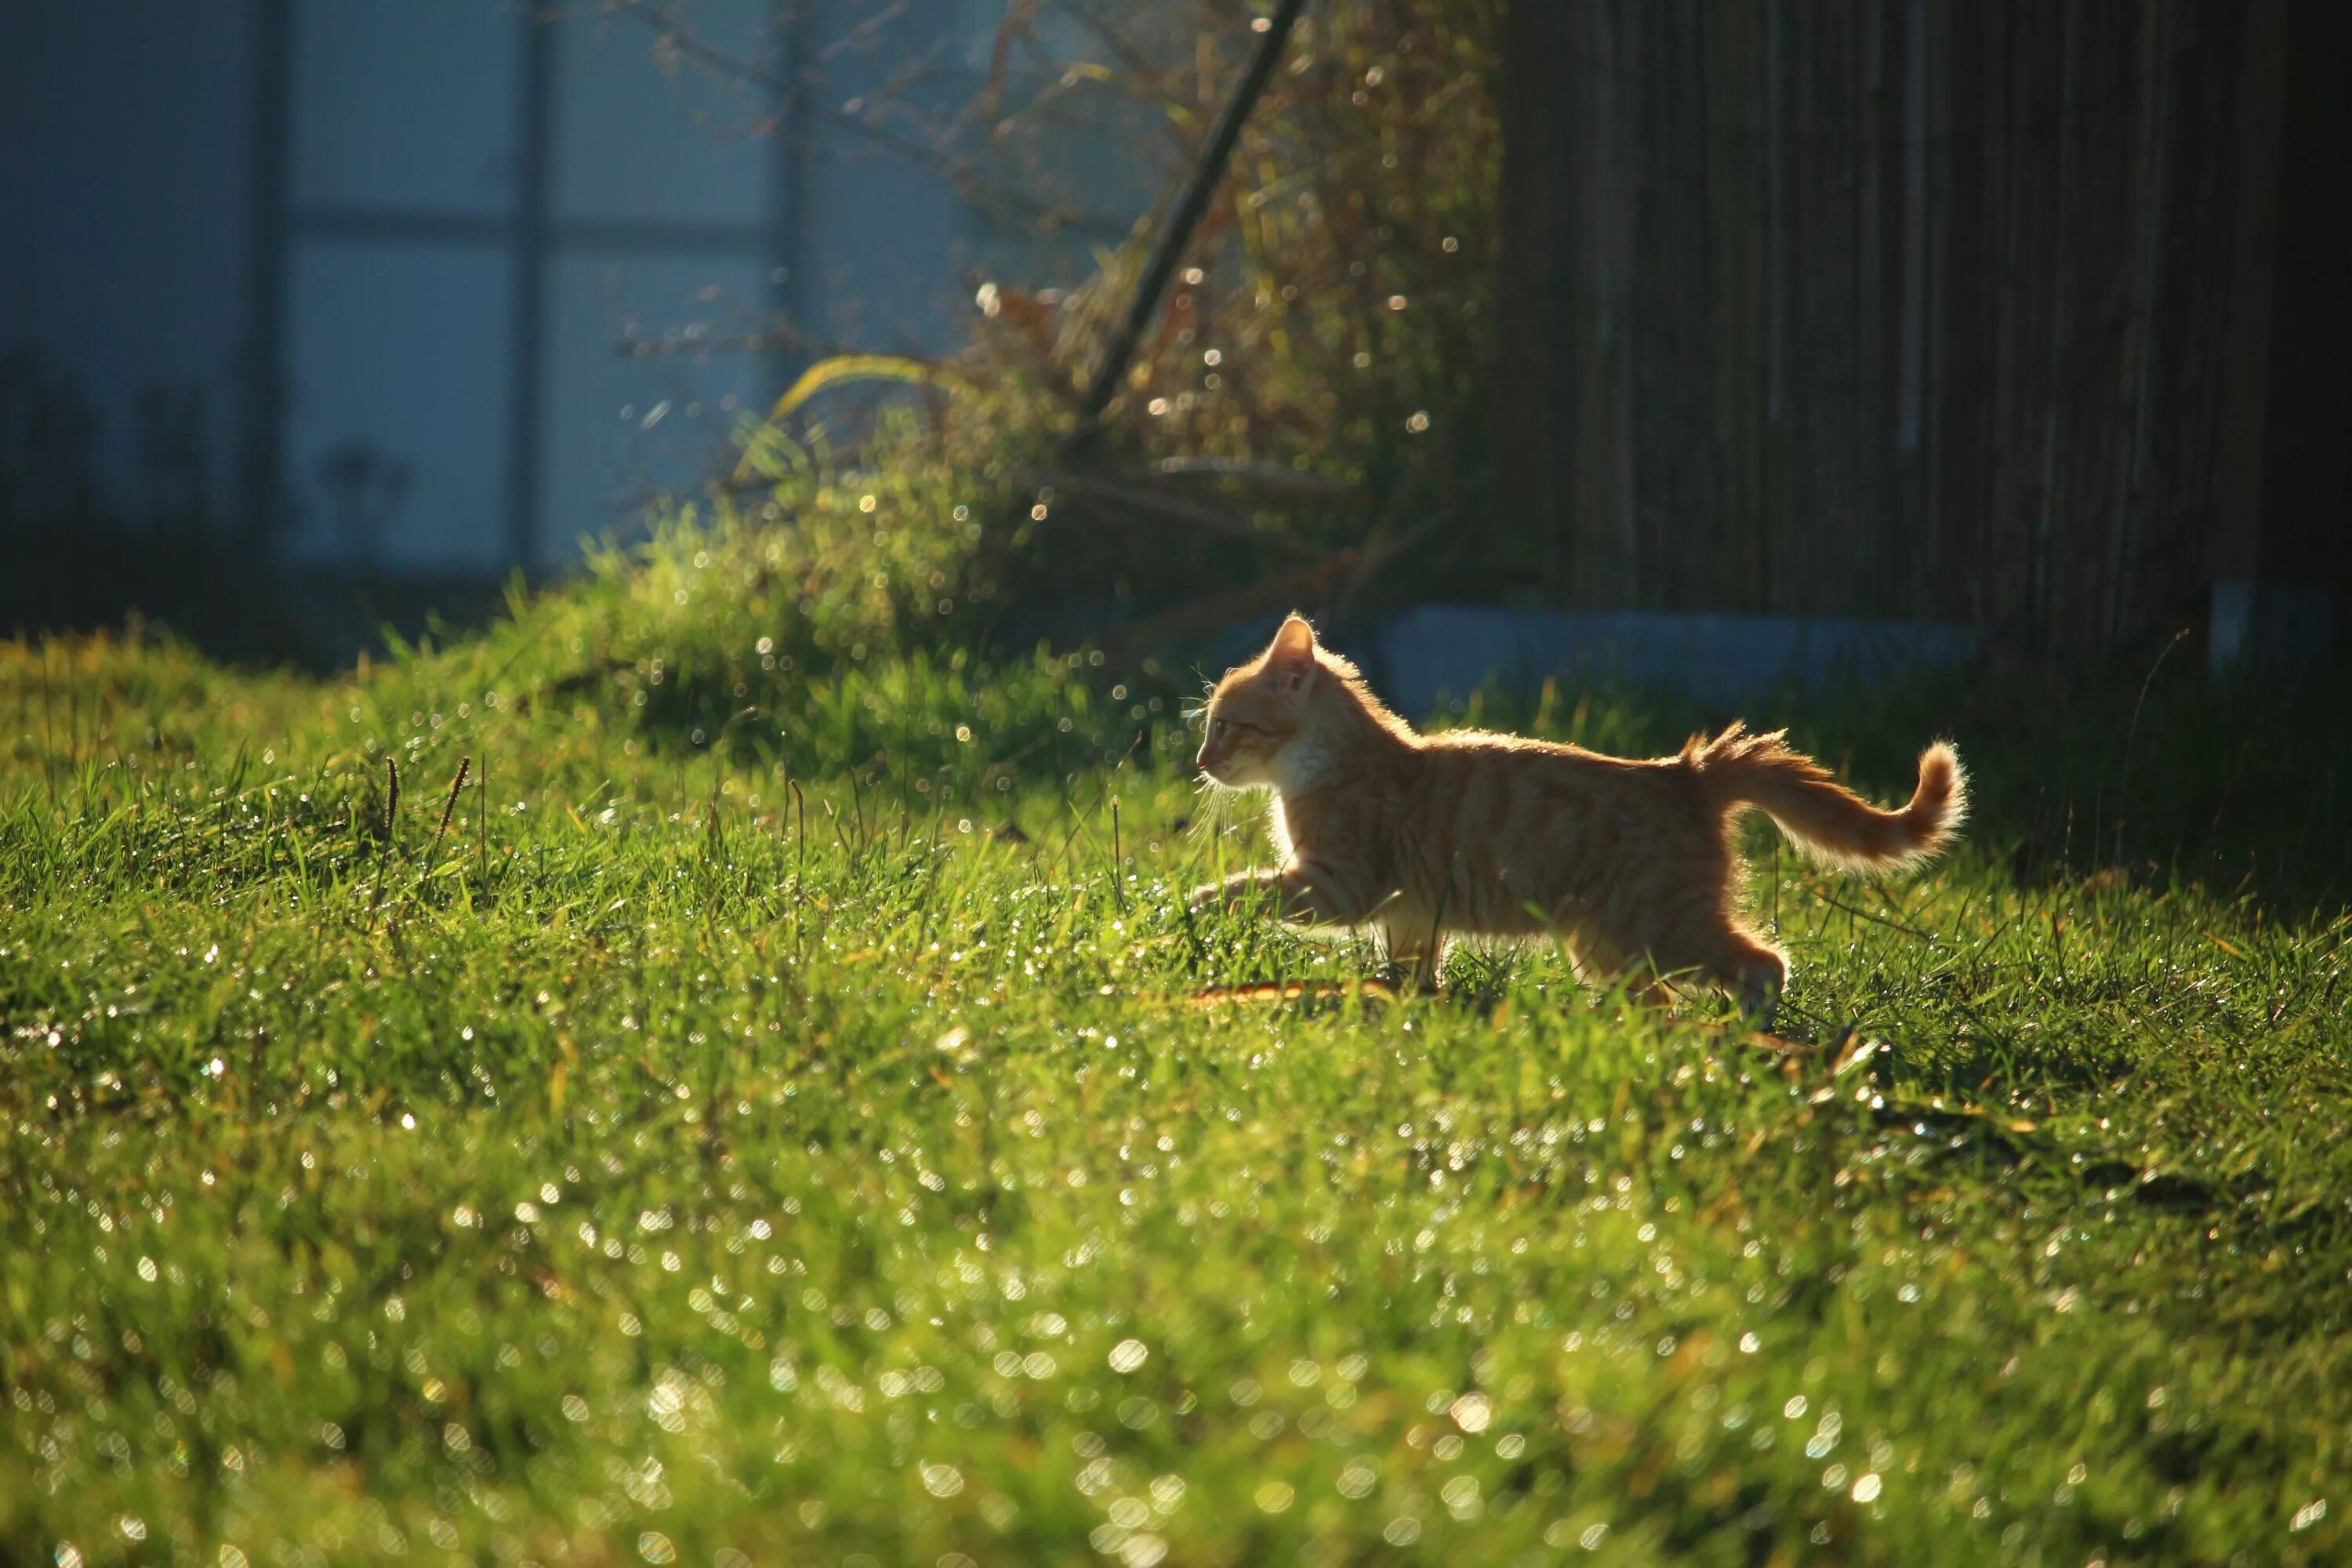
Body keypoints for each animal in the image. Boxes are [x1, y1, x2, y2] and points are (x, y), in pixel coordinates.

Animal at [1195, 611, 1966, 1020]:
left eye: (1224, 726)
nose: (1200, 761)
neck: (1328, 760)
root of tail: (1684, 773)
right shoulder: (1409, 915)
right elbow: (1413, 973)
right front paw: (1412, 1009)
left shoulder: (1339, 884)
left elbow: (1244, 892)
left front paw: (1191, 905)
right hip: (1609, 947)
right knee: (1664, 999)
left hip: (1661, 926)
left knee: (1764, 964)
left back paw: (1745, 1042)